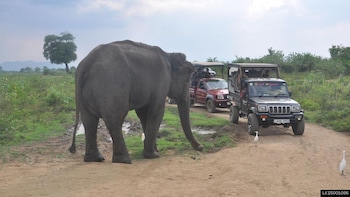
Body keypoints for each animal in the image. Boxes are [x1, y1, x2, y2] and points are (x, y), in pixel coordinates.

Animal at [68, 39, 204, 163]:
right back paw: (124, 160)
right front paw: (153, 155)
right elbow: (156, 111)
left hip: (86, 94)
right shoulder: (162, 82)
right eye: (187, 80)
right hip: (112, 86)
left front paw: (153, 151)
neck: (169, 55)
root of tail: (86, 62)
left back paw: (95, 158)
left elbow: (143, 114)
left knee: (89, 122)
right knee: (115, 118)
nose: (201, 147)